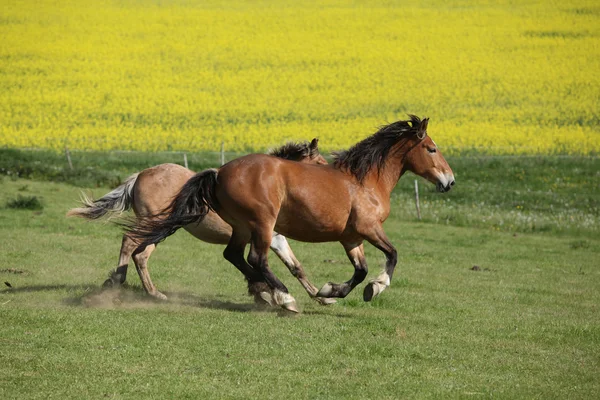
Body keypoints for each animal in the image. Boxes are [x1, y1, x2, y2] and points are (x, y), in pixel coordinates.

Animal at [70, 139, 336, 304]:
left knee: (140, 255)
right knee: (130, 244)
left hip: (158, 229)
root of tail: (140, 175)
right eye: (321, 164)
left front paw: (322, 296)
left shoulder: (273, 239)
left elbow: (295, 267)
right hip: (155, 223)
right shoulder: (268, 236)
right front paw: (270, 293)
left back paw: (152, 293)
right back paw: (118, 283)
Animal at [130, 115, 454, 312]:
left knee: (234, 256)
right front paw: (376, 288)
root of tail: (219, 172)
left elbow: (359, 271)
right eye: (432, 149)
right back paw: (283, 297)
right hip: (262, 223)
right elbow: (392, 255)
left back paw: (268, 293)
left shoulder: (351, 239)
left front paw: (329, 291)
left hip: (243, 227)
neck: (365, 182)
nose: (449, 181)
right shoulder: (370, 228)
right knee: (256, 259)